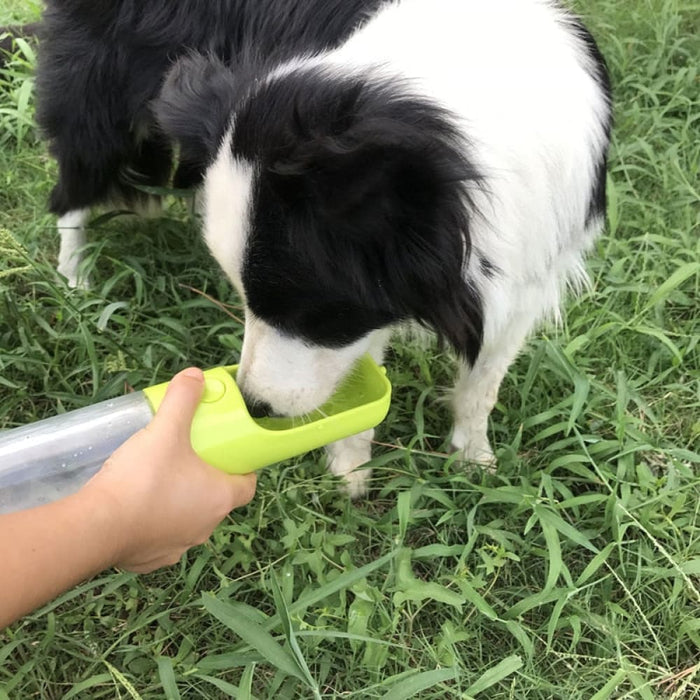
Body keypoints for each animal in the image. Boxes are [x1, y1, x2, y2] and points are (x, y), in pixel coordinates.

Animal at [35, 0, 608, 494]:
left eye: (308, 309)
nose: (255, 408)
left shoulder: (529, 265)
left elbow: (482, 382)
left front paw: (474, 460)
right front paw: (349, 474)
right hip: (98, 96)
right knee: (73, 186)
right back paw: (74, 278)